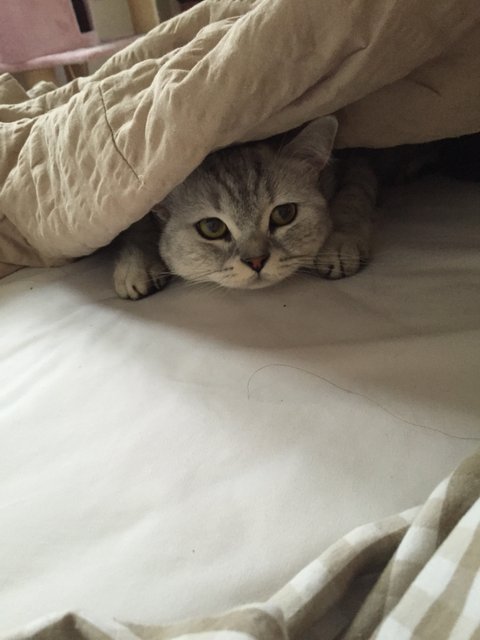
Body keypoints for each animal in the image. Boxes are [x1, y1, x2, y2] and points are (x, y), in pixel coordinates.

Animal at [113, 117, 378, 299]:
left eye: (284, 214)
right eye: (212, 227)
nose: (256, 261)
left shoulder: (360, 161)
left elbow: (354, 194)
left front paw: (340, 243)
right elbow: (136, 223)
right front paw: (135, 264)